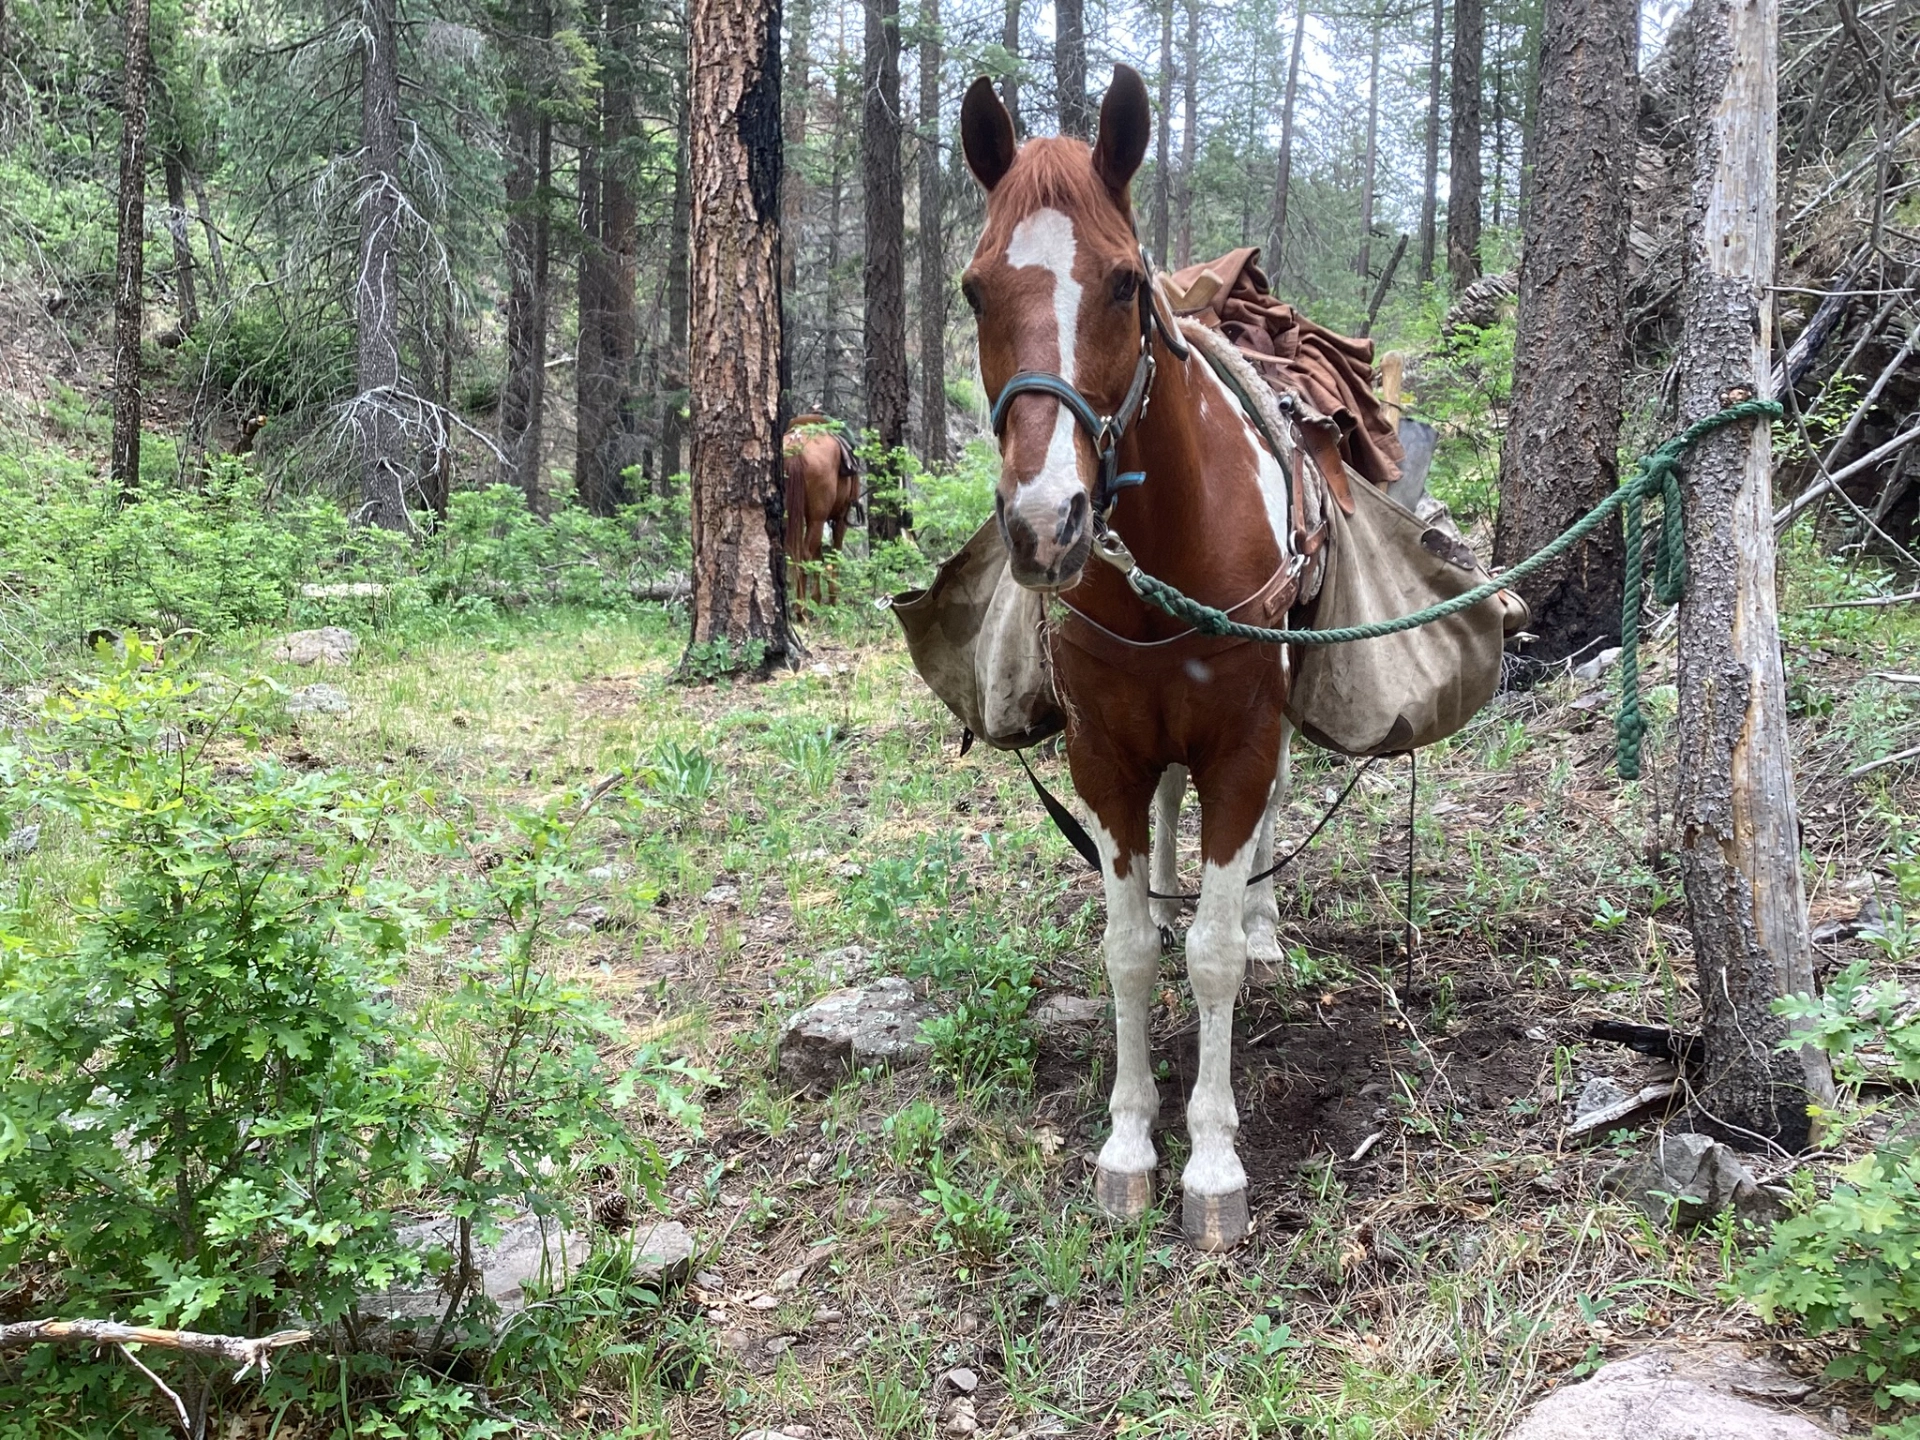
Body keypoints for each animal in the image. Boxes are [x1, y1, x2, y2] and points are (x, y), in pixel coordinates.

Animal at [783, 415, 860, 613]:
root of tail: (796, 445)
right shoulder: (840, 519)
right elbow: (834, 555)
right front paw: (832, 600)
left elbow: (818, 557)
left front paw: (817, 598)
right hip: (818, 519)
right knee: (804, 555)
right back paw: (801, 612)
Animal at [960, 66, 1320, 1250]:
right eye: (973, 290)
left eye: (1124, 283)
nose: (1046, 524)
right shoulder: (1105, 759)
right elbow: (1121, 949)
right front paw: (1127, 1144)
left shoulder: (1241, 749)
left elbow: (1212, 959)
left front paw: (1211, 1162)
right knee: (1167, 829)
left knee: (1264, 834)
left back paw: (1258, 921)